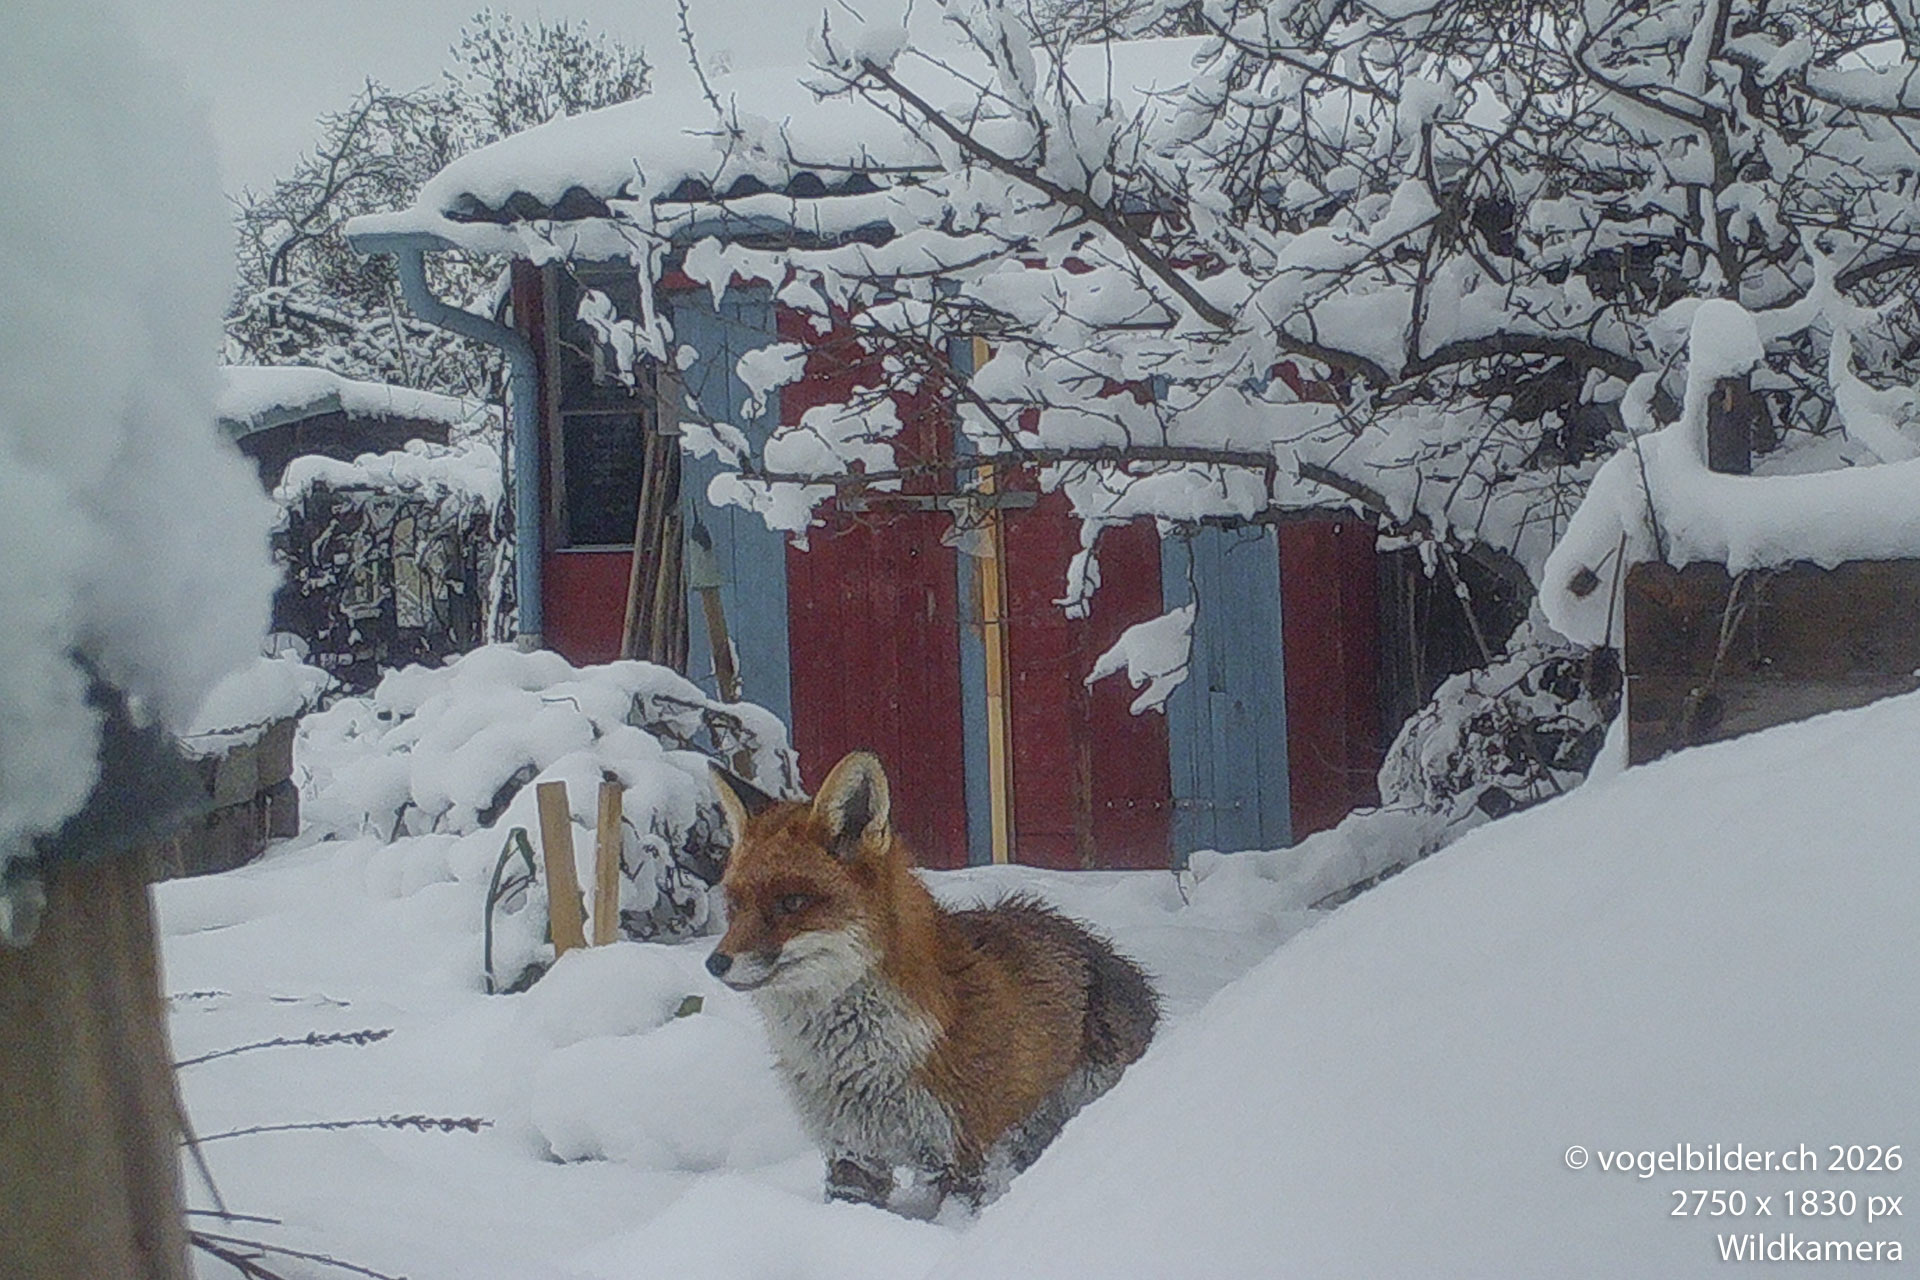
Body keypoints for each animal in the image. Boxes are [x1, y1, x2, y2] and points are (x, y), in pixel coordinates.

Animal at [705, 750, 1158, 1213]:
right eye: (734, 905)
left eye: (792, 902)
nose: (715, 963)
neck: (865, 1063)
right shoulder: (852, 1152)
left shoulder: (961, 1150)